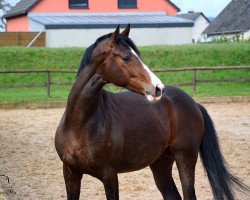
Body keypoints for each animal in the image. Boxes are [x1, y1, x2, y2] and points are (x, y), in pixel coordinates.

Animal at [55, 25, 248, 200]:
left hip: (185, 157)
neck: (81, 124)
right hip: (160, 163)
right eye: (126, 57)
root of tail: (194, 104)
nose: (158, 88)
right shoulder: (71, 174)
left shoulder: (109, 176)